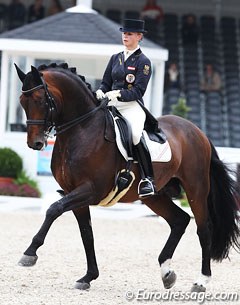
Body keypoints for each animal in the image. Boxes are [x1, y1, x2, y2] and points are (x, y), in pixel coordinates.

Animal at [15, 62, 240, 292]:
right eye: (22, 101)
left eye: (40, 100)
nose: (35, 143)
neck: (82, 129)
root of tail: (198, 131)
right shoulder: (74, 193)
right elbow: (87, 234)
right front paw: (88, 277)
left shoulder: (91, 190)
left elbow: (54, 209)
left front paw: (29, 253)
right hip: (154, 195)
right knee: (180, 220)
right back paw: (167, 273)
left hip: (196, 188)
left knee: (204, 229)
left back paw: (201, 281)